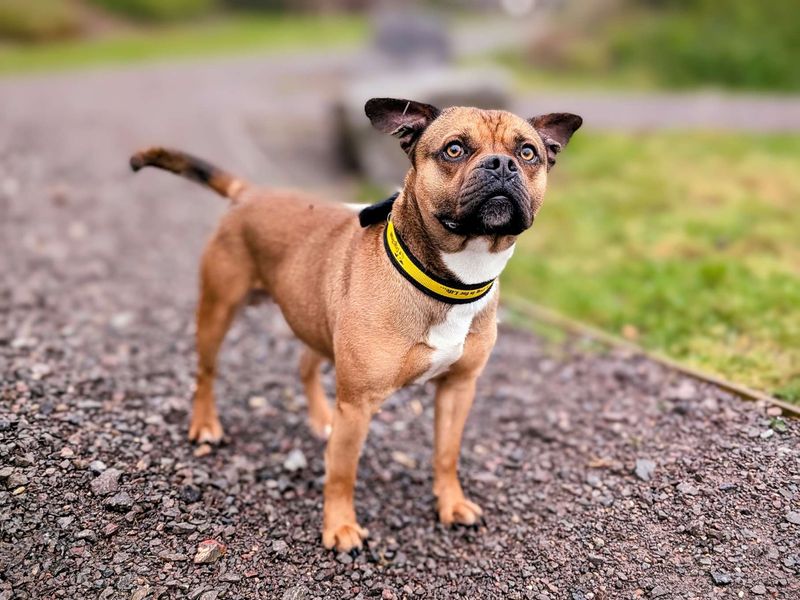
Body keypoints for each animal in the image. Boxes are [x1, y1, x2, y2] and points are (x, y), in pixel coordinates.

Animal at [131, 99, 580, 552]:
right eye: (454, 149)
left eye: (527, 153)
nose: (502, 164)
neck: (451, 280)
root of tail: (250, 193)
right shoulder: (359, 402)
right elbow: (343, 471)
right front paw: (340, 526)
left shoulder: (458, 389)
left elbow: (446, 453)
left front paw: (451, 504)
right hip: (218, 310)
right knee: (206, 372)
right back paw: (206, 424)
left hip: (313, 318)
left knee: (304, 366)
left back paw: (320, 418)